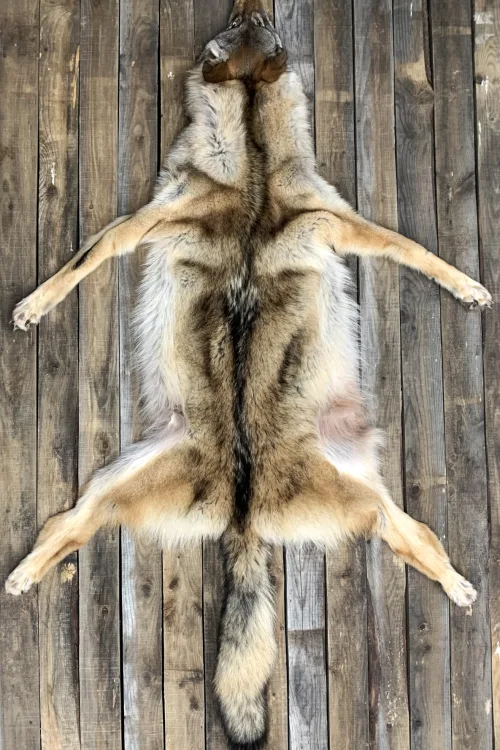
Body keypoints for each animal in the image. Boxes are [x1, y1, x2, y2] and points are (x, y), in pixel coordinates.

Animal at [5, 1, 492, 747]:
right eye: (244, 26)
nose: (249, 2)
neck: (254, 150)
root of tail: (245, 511)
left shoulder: (337, 223)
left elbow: (422, 253)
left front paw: (467, 286)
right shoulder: (144, 223)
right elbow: (78, 264)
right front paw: (34, 304)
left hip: (359, 503)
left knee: (418, 542)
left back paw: (460, 585)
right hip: (109, 490)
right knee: (65, 531)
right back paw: (25, 575)